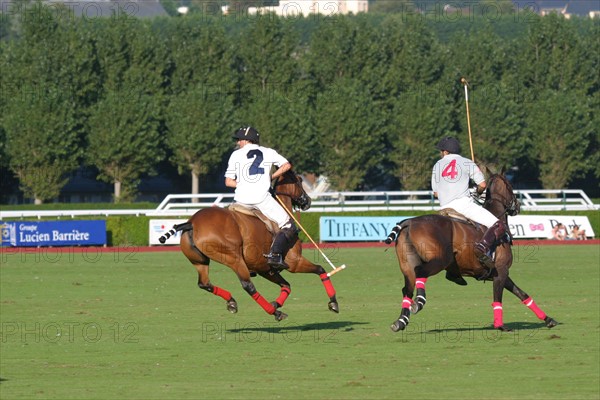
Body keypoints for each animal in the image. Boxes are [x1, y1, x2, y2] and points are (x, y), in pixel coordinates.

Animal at [158, 170, 338, 322]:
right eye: (299, 181)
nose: (307, 201)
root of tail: (191, 222)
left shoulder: (265, 269)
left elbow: (286, 285)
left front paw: (276, 303)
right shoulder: (294, 262)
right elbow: (320, 269)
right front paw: (333, 303)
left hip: (199, 260)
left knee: (204, 283)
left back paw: (232, 302)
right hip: (234, 258)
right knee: (248, 286)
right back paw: (275, 313)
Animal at [384, 174, 556, 332]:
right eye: (509, 185)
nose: (517, 206)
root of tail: (408, 222)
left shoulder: (499, 272)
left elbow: (522, 294)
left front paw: (548, 319)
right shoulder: (501, 271)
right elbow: (497, 298)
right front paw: (500, 326)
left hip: (407, 264)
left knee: (407, 288)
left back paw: (401, 321)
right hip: (440, 260)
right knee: (420, 272)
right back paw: (419, 301)